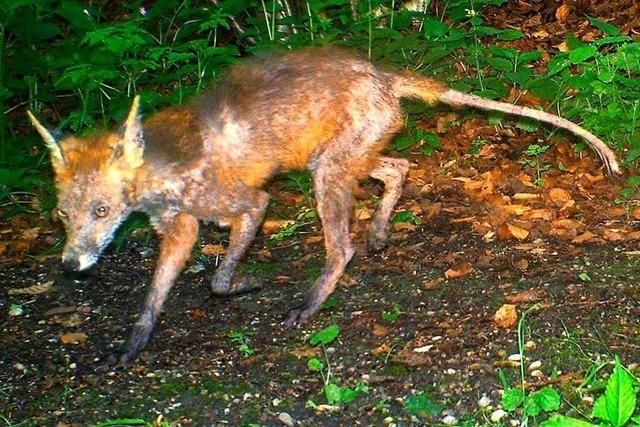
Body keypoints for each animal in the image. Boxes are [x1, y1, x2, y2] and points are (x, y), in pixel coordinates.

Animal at [26, 46, 620, 368]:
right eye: (63, 216)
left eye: (102, 212)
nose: (71, 265)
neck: (165, 174)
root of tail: (381, 73)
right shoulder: (180, 229)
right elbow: (152, 302)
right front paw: (130, 350)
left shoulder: (248, 204)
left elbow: (218, 280)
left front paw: (248, 284)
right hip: (345, 159)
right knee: (400, 169)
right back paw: (379, 232)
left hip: (327, 172)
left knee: (343, 247)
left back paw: (312, 303)